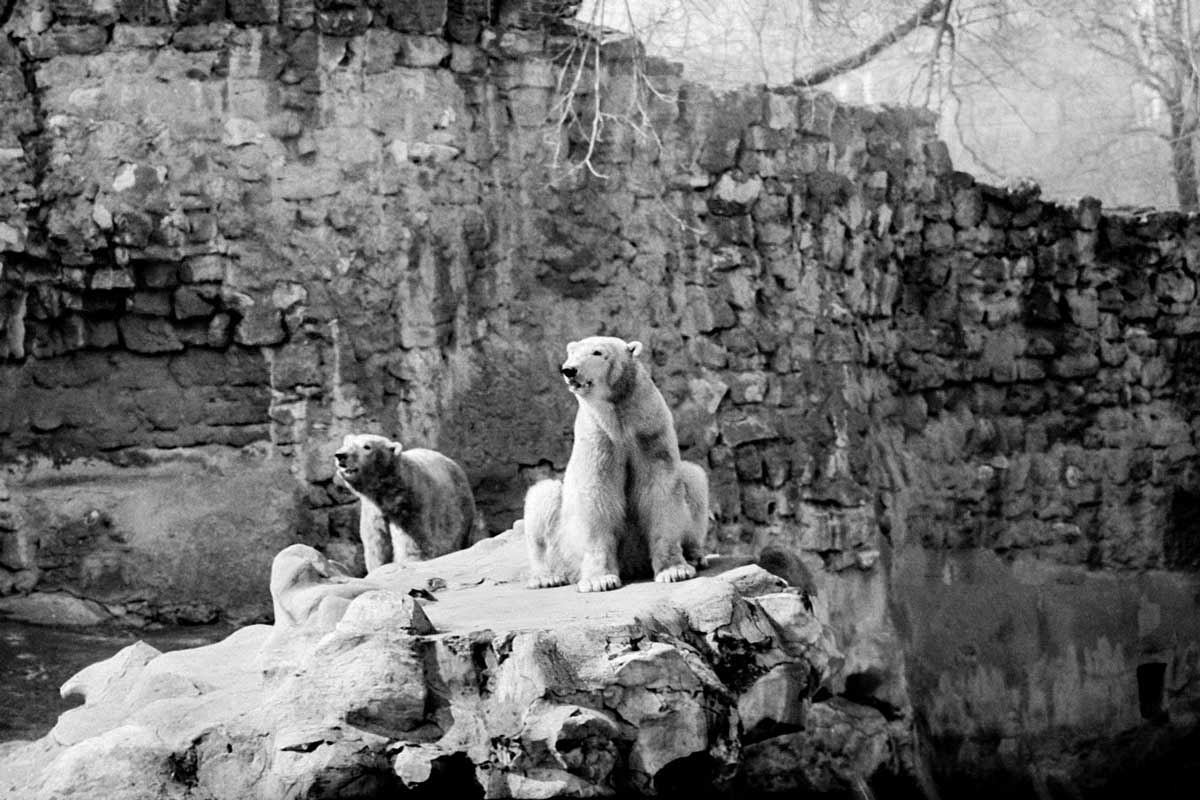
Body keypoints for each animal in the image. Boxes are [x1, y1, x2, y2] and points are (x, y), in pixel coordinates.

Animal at [333, 433, 476, 573]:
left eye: (366, 446)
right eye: (346, 444)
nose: (341, 455)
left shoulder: (412, 504)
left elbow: (412, 538)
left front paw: (411, 561)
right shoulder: (373, 511)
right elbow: (377, 542)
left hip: (460, 507)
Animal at [523, 336, 709, 592]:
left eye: (597, 352)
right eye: (572, 353)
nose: (569, 370)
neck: (619, 417)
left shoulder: (650, 431)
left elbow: (659, 489)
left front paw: (675, 570)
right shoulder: (599, 437)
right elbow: (597, 495)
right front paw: (599, 580)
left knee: (693, 477)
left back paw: (695, 556)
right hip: (562, 538)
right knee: (543, 498)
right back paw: (546, 576)